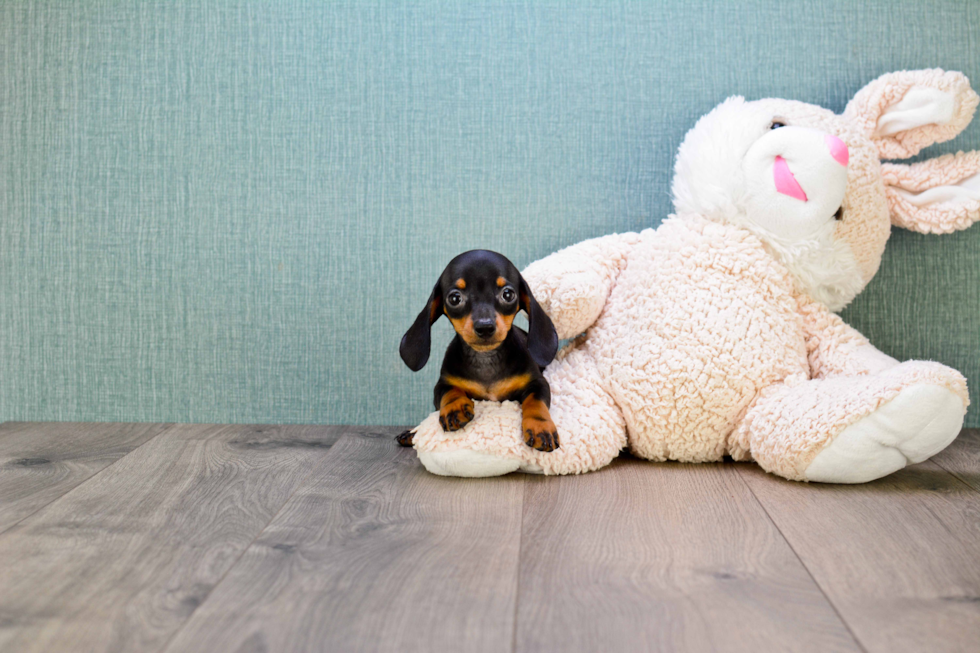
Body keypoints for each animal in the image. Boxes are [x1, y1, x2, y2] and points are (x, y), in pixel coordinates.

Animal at [396, 252, 560, 450]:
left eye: (508, 294)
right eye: (454, 298)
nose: (485, 327)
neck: (486, 359)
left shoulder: (538, 383)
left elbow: (535, 402)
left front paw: (540, 427)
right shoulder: (442, 384)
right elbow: (449, 391)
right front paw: (455, 408)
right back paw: (411, 434)